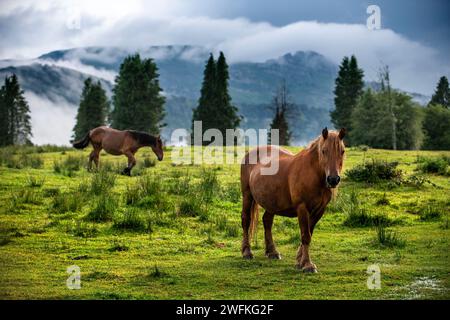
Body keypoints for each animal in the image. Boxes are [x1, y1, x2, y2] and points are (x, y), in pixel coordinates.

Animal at [241, 127, 346, 272]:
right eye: (324, 151)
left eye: (342, 151)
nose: (333, 179)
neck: (313, 174)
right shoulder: (302, 208)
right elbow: (305, 236)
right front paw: (307, 264)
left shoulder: (319, 210)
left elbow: (309, 233)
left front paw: (299, 261)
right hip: (247, 196)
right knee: (246, 220)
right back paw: (247, 252)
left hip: (271, 203)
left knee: (267, 221)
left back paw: (272, 252)